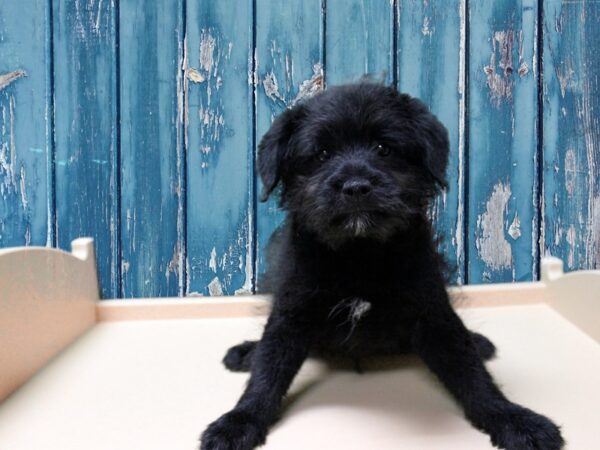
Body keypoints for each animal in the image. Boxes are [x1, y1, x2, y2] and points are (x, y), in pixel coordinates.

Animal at [199, 82, 564, 448]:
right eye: (321, 154)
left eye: (383, 149)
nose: (356, 187)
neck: (360, 253)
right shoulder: (292, 311)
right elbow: (268, 369)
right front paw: (239, 421)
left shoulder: (431, 311)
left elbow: (470, 370)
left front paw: (513, 419)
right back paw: (246, 352)